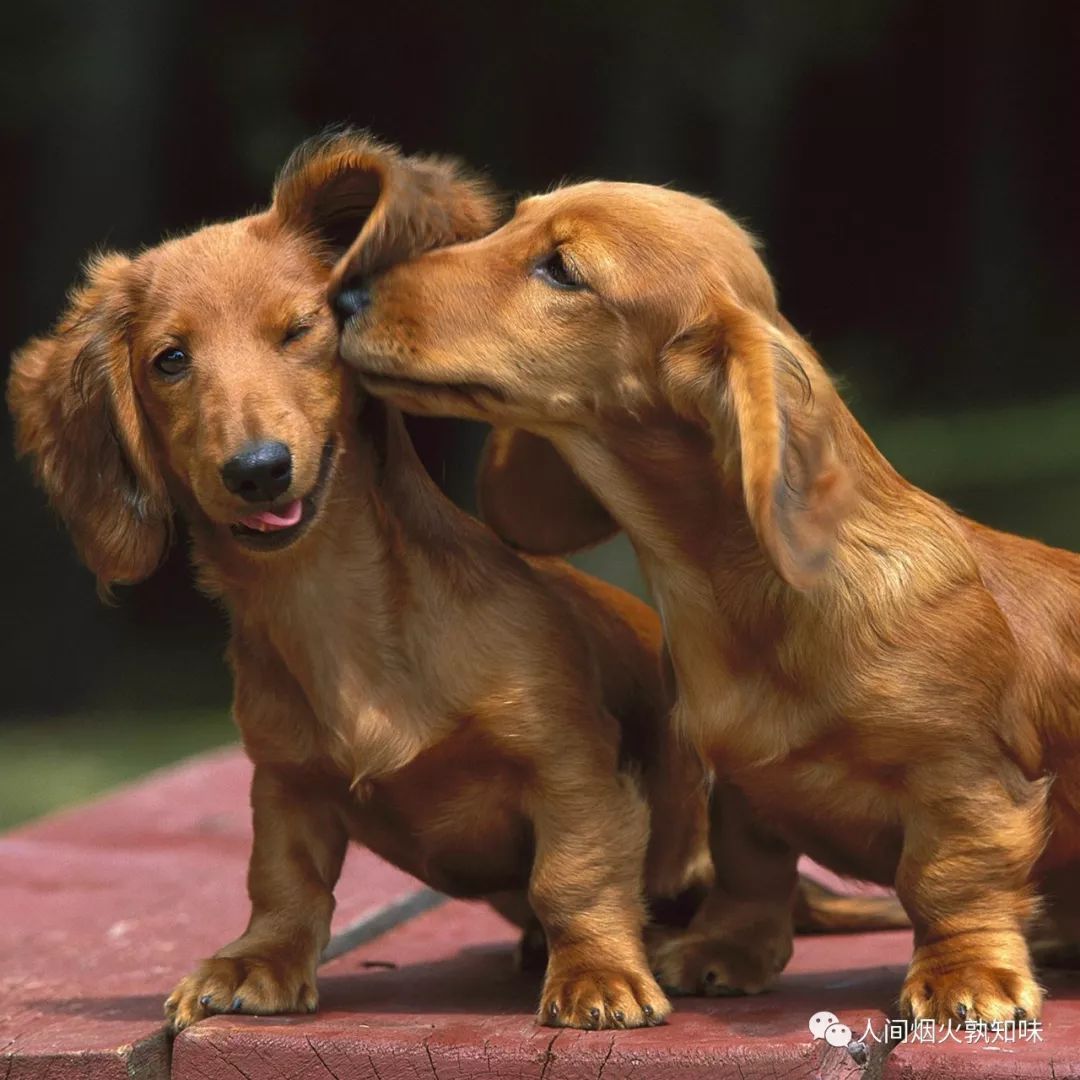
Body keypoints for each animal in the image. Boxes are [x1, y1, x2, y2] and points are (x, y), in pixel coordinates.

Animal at [330, 177, 1080, 1019]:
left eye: (561, 269)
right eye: (512, 222)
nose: (344, 296)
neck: (742, 605)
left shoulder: (967, 782)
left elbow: (949, 881)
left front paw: (964, 974)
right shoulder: (741, 789)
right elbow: (752, 871)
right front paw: (725, 949)